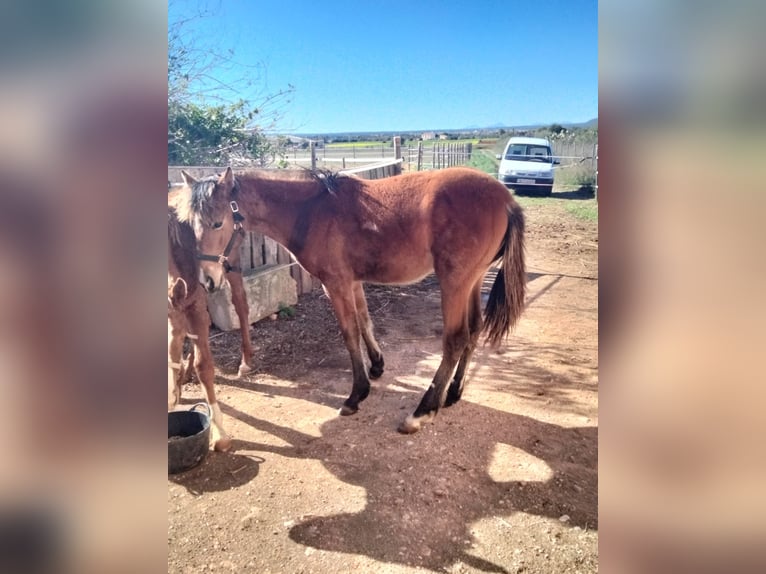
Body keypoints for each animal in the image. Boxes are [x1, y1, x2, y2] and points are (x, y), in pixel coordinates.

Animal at [176, 164, 524, 434]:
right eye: (189, 225)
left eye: (217, 223)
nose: (207, 280)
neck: (311, 211)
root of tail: (506, 199)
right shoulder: (353, 282)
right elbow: (364, 321)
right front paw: (377, 365)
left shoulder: (336, 283)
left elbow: (349, 332)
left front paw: (356, 395)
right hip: (472, 281)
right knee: (474, 330)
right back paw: (453, 392)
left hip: (455, 282)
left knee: (455, 339)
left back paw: (422, 411)